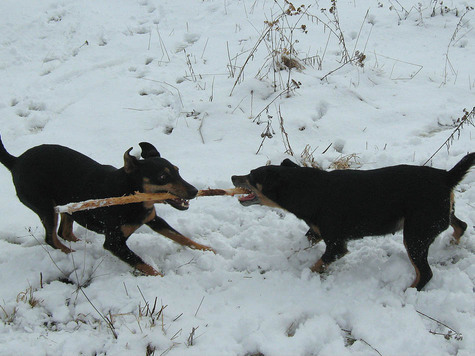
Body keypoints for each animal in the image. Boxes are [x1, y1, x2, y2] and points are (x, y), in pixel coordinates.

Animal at [0, 136, 212, 276]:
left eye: (177, 170)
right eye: (162, 176)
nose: (194, 191)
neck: (131, 194)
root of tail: (16, 161)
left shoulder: (153, 219)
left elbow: (181, 237)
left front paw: (207, 249)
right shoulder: (114, 243)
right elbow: (143, 264)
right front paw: (160, 278)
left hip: (69, 205)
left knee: (64, 232)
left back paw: (80, 246)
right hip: (45, 207)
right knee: (51, 238)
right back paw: (72, 254)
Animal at [232, 154, 474, 290]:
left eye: (251, 176)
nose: (233, 177)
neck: (308, 190)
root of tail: (446, 176)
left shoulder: (336, 245)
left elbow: (316, 265)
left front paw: (304, 274)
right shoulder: (316, 232)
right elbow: (300, 247)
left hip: (416, 235)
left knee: (425, 273)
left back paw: (409, 292)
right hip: (437, 218)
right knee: (461, 226)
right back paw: (451, 245)